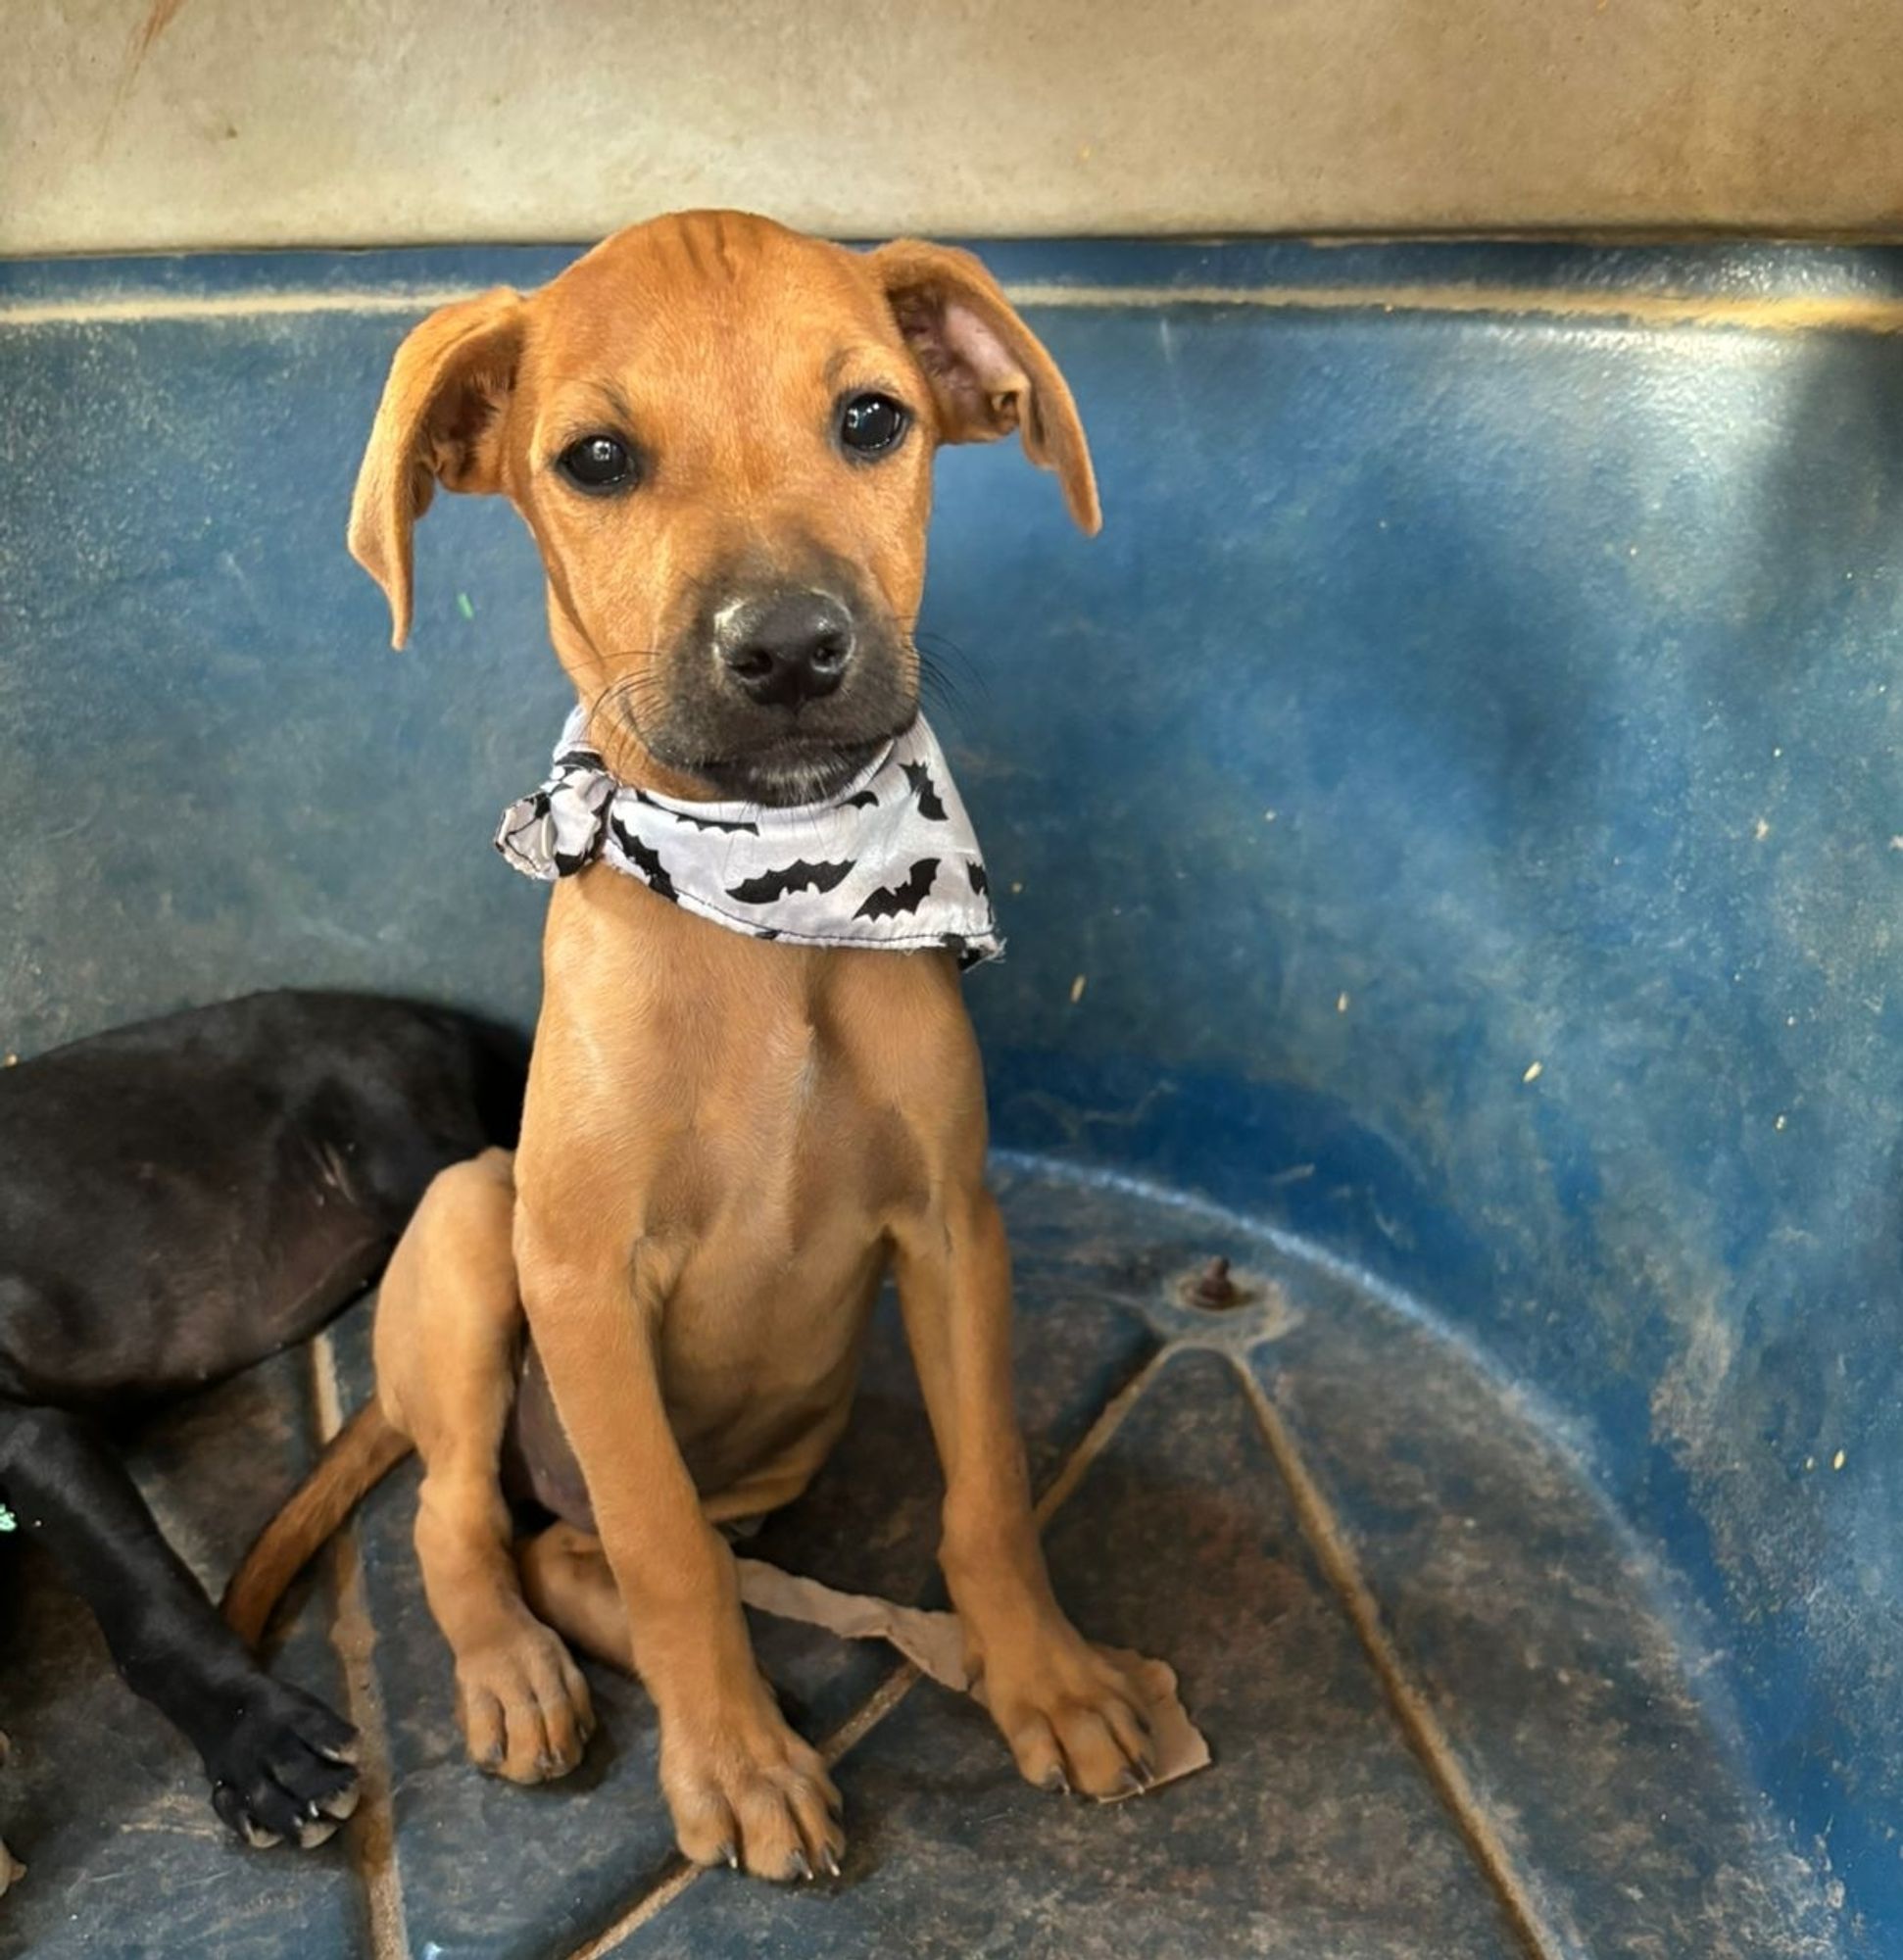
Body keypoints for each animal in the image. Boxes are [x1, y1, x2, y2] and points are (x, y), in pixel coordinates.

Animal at [223, 215, 1145, 1882]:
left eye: (871, 419)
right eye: (594, 458)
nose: (785, 646)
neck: (765, 907)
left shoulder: (952, 1227)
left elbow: (986, 1493)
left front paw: (1045, 1676)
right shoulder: (583, 1273)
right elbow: (660, 1542)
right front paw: (731, 1762)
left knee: (580, 1554)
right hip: (475, 1226)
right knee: (467, 1523)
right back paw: (520, 1672)